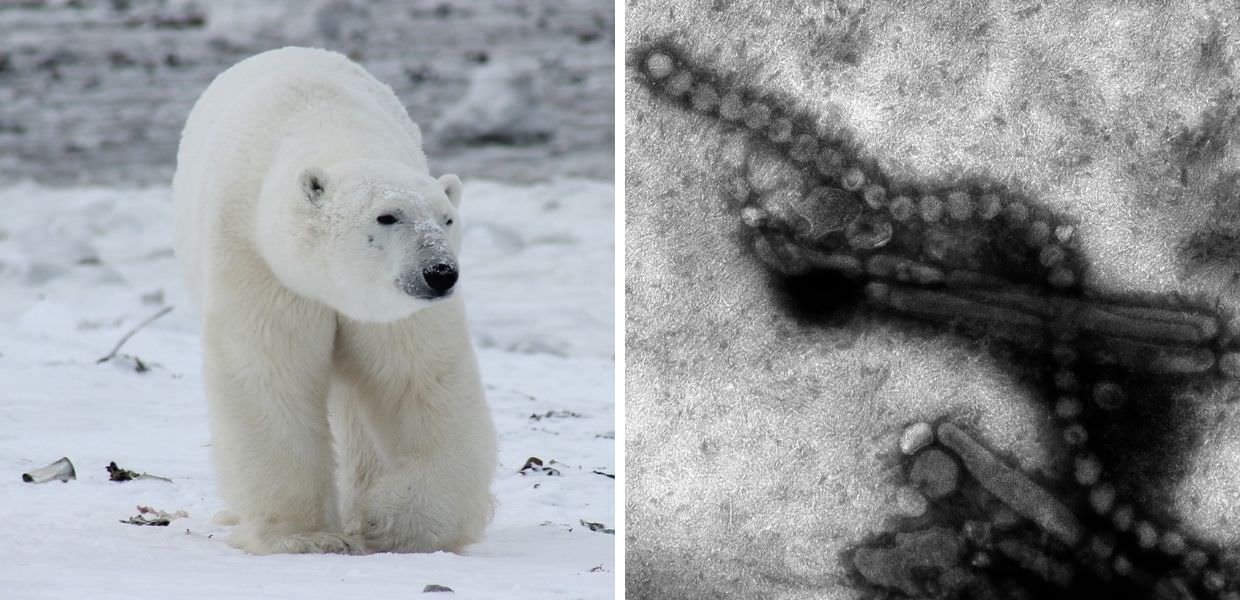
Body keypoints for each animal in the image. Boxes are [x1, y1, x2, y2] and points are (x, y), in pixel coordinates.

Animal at [172, 46, 497, 555]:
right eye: (387, 216)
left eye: (446, 219)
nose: (441, 272)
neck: (329, 127)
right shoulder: (260, 263)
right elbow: (270, 375)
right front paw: (305, 536)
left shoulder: (390, 310)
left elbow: (419, 380)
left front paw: (398, 523)